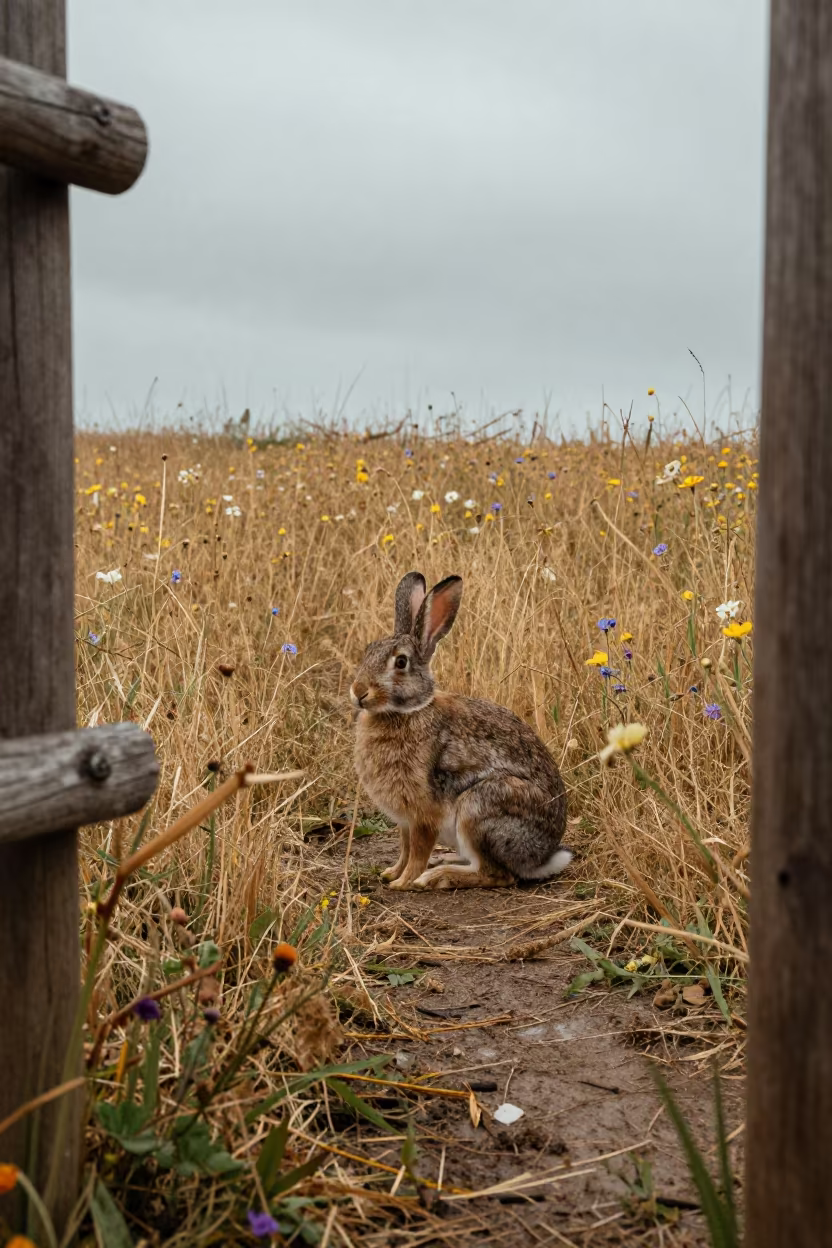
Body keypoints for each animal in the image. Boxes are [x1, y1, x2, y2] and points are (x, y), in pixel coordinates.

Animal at [350, 571, 570, 890]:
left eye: (401, 662)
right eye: (368, 651)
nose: (358, 692)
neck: (408, 711)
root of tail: (541, 857)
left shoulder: (423, 814)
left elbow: (417, 851)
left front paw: (403, 883)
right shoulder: (405, 820)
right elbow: (404, 848)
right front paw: (391, 873)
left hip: (479, 808)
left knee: (496, 874)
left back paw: (437, 876)